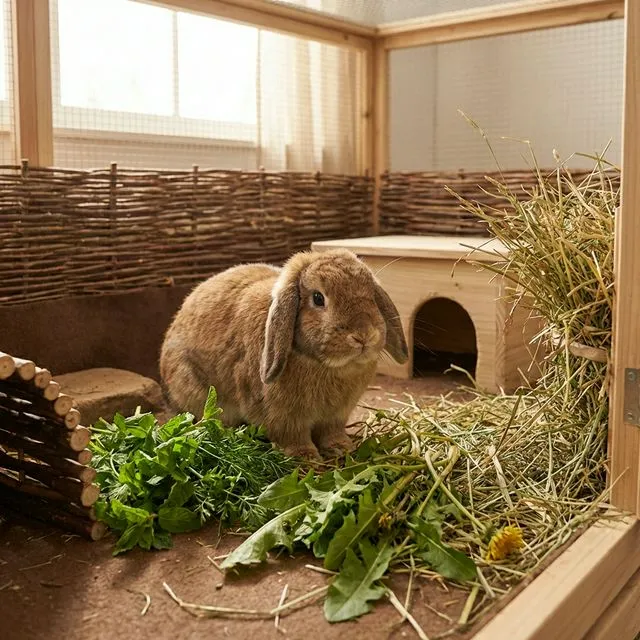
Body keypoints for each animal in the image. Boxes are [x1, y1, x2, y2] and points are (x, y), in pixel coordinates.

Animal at [159, 248, 408, 459]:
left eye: (371, 296)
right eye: (318, 298)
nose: (363, 335)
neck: (326, 365)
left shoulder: (336, 416)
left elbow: (331, 432)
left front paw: (342, 448)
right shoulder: (282, 417)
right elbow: (292, 437)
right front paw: (305, 458)